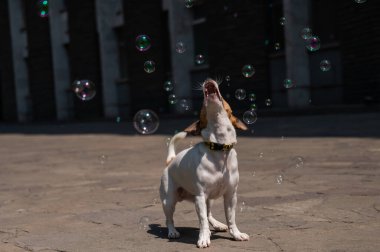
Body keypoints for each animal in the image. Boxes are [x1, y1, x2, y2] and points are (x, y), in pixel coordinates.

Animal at [160, 79, 249, 248]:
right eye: (201, 106)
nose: (208, 80)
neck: (219, 148)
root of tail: (170, 160)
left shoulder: (230, 195)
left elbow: (231, 218)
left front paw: (236, 234)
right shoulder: (200, 197)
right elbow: (202, 221)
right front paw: (203, 238)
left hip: (210, 199)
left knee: (209, 214)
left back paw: (218, 225)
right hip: (169, 199)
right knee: (169, 218)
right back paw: (172, 231)